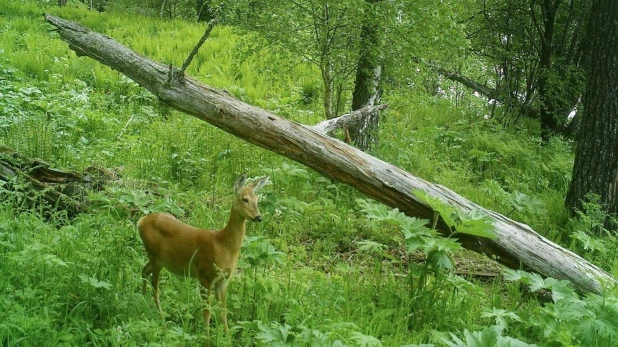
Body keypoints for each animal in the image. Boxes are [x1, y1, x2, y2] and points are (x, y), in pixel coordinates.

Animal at [137, 175, 268, 336]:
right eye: (245, 199)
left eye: (257, 199)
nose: (259, 217)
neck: (224, 246)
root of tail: (141, 221)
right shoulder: (205, 275)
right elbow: (207, 313)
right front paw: (207, 338)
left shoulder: (224, 279)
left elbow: (223, 311)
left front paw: (227, 337)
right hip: (156, 257)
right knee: (155, 291)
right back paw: (163, 324)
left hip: (156, 259)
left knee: (144, 271)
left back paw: (142, 304)